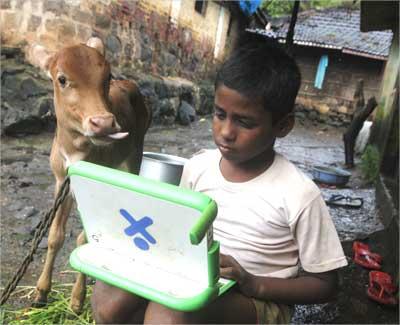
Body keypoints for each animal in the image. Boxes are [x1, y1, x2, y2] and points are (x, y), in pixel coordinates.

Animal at [29, 37, 152, 312]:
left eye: (107, 76)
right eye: (62, 78)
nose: (104, 123)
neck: (76, 153)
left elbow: (84, 238)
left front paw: (77, 299)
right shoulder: (61, 181)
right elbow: (55, 236)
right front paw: (41, 292)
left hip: (135, 154)